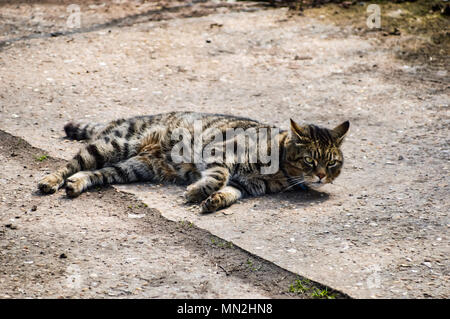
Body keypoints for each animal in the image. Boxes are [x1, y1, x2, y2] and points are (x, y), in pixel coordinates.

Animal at [37, 111, 348, 214]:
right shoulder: (220, 152)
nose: (322, 176)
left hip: (130, 168)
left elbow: (230, 191)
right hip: (113, 145)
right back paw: (50, 181)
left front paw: (215, 200)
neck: (281, 170)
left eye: (332, 163)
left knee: (96, 174)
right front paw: (198, 191)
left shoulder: (248, 186)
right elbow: (218, 176)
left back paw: (76, 184)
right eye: (310, 160)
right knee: (71, 164)